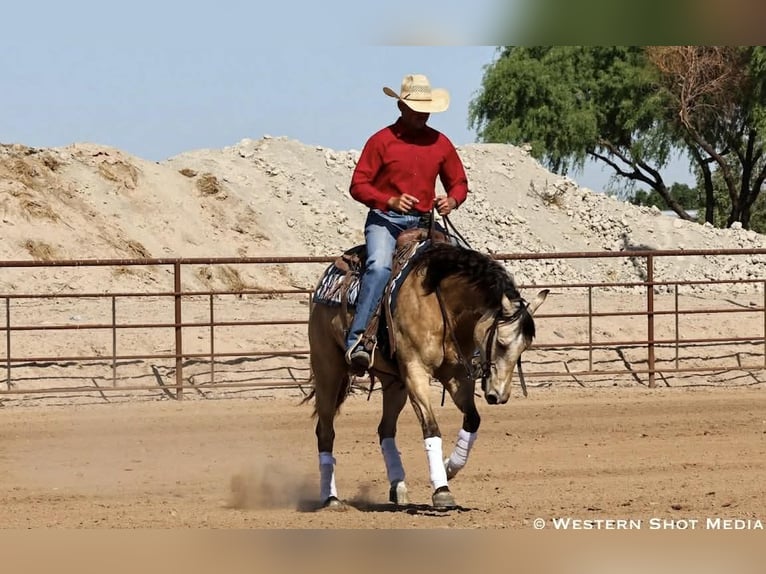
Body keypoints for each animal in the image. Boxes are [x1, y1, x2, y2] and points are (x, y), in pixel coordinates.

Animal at [304, 240, 548, 510]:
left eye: (524, 347)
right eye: (502, 343)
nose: (499, 395)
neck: (438, 303)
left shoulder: (455, 375)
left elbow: (472, 420)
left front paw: (449, 467)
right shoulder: (416, 371)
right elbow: (431, 428)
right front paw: (442, 490)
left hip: (394, 383)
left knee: (385, 429)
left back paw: (398, 486)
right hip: (328, 369)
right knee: (325, 431)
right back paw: (331, 497)